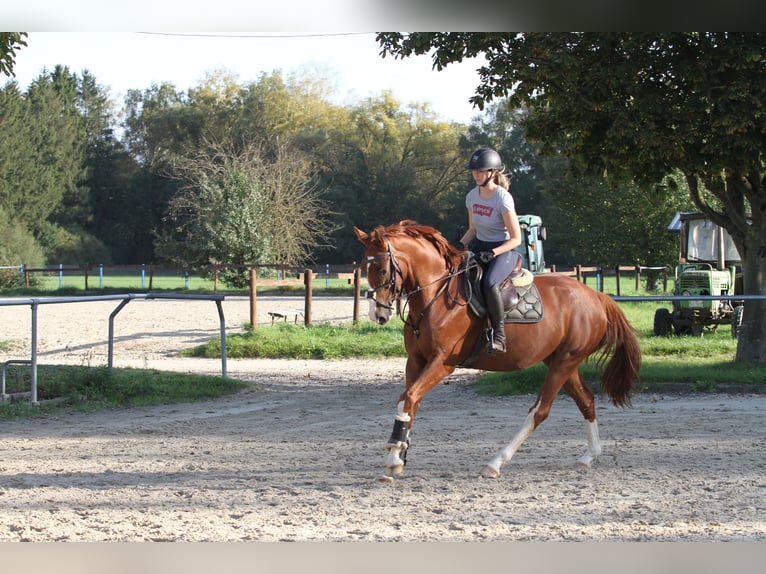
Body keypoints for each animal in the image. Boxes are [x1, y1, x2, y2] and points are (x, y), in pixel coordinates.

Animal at [354, 220, 641, 483]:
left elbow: (410, 397)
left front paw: (394, 457)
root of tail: (597, 297)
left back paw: (495, 463)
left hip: (564, 362)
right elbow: (409, 403)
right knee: (586, 400)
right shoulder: (415, 361)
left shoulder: (442, 362)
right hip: (562, 362)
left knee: (540, 411)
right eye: (364, 269)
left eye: (382, 269)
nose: (378, 315)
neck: (435, 294)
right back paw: (589, 456)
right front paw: (398, 456)